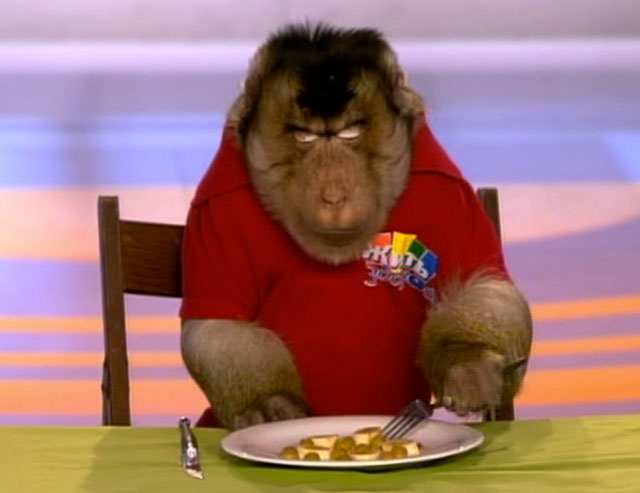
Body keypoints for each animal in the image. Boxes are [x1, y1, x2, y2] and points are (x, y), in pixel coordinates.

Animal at [179, 24, 532, 430]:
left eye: (349, 134)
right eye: (304, 136)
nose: (334, 196)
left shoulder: (447, 189)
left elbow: (482, 287)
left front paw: (466, 360)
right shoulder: (213, 208)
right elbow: (219, 326)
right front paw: (268, 402)